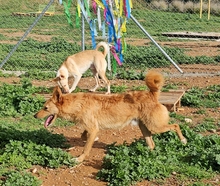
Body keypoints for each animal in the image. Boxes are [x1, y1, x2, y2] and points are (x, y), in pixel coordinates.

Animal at [34, 70, 187, 162]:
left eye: (45, 108)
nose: (35, 116)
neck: (78, 103)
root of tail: (151, 94)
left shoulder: (93, 128)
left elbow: (86, 148)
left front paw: (79, 159)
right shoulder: (91, 127)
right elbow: (84, 135)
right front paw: (92, 139)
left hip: (155, 126)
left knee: (175, 125)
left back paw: (183, 140)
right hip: (145, 128)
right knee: (152, 144)